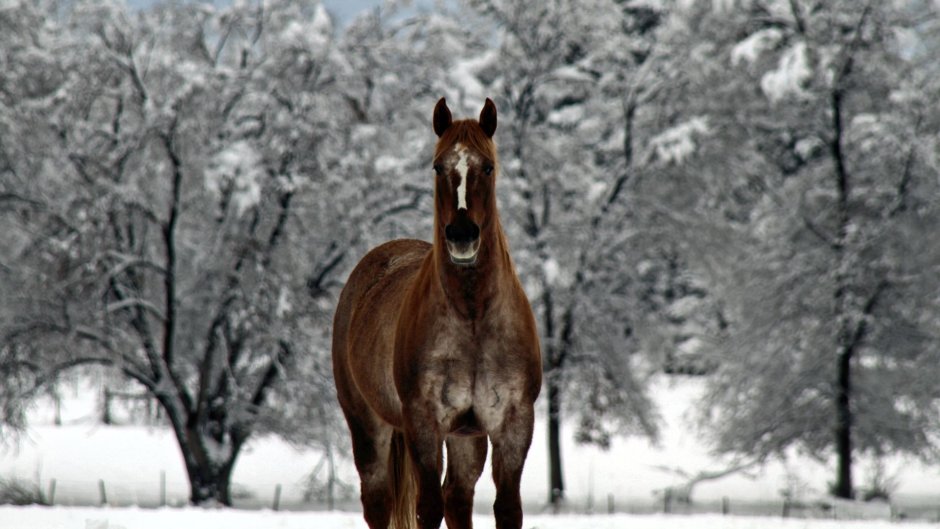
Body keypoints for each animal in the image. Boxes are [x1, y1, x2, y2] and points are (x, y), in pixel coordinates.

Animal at [334, 97, 544, 524]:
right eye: (437, 166)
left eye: (488, 166)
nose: (462, 236)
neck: (473, 317)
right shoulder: (423, 423)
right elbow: (427, 508)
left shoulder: (513, 423)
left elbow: (507, 508)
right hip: (368, 426)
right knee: (378, 502)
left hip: (467, 439)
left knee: (458, 498)